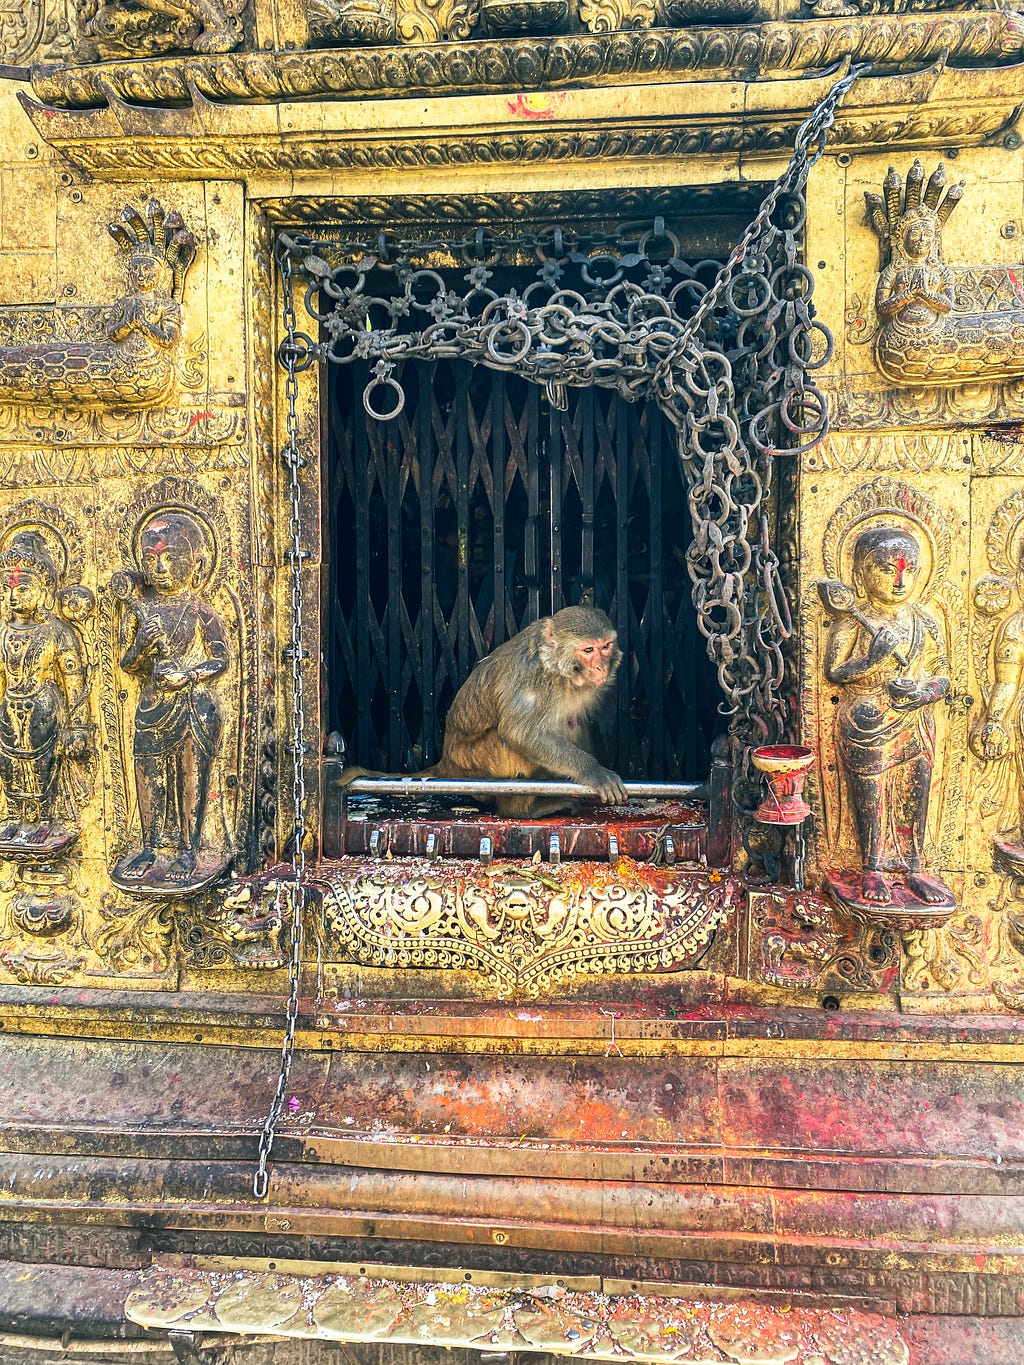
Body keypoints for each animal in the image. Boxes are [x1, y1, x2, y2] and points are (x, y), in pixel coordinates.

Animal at [338, 603, 625, 813]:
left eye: (606, 647)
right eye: (588, 650)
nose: (601, 668)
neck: (558, 671)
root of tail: (447, 762)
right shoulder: (531, 678)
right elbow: (519, 732)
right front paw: (593, 771)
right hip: (480, 763)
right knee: (506, 739)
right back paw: (522, 811)